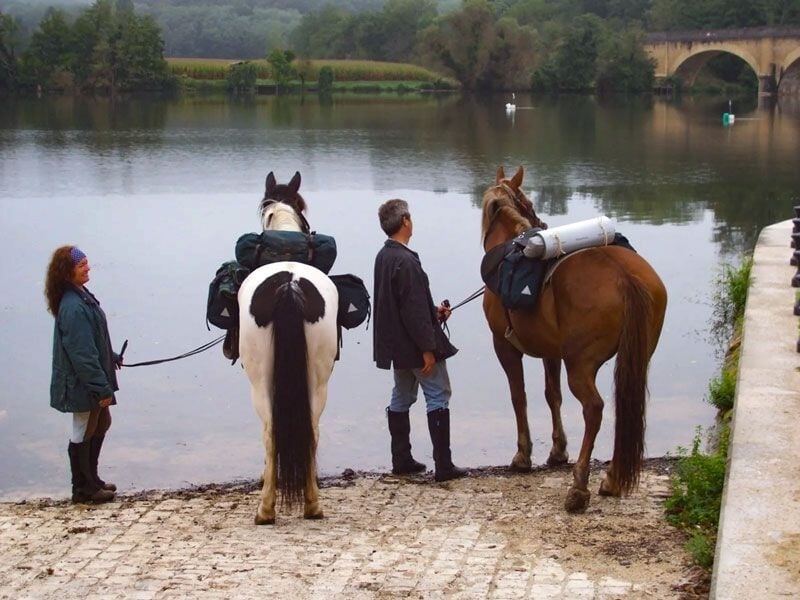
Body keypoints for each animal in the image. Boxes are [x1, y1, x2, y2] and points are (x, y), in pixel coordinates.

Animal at [238, 177, 338, 525]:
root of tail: (290, 286)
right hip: (317, 381)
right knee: (311, 431)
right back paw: (311, 503)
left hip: (261, 382)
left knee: (271, 433)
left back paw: (268, 509)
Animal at [481, 166, 667, 513]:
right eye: (529, 202)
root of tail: (625, 278)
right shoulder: (551, 352)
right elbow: (552, 395)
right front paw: (558, 451)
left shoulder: (505, 346)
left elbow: (519, 397)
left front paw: (523, 455)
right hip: (635, 359)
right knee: (625, 406)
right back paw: (612, 479)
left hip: (581, 364)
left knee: (594, 409)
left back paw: (579, 487)